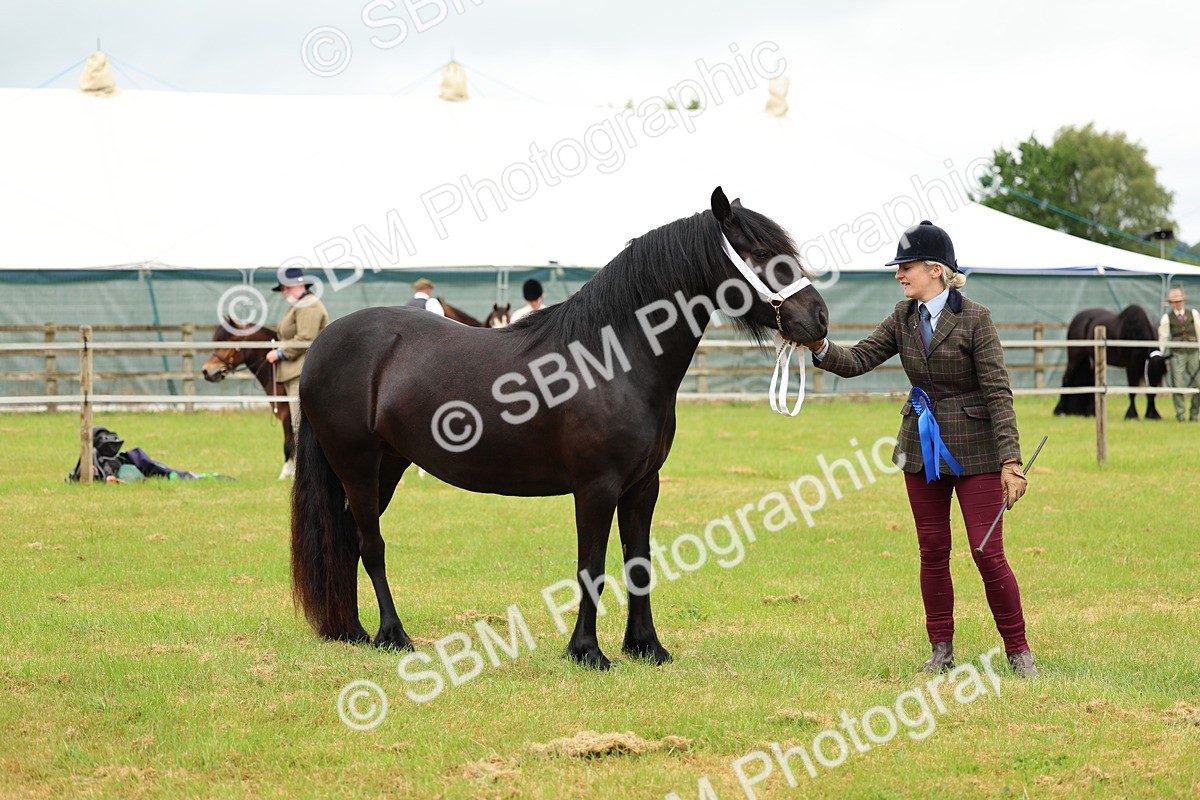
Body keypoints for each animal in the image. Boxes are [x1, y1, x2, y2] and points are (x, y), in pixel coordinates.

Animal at [290, 187, 828, 668]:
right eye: (763, 253)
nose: (819, 318)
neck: (614, 360)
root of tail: (324, 343)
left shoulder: (643, 486)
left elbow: (639, 563)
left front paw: (647, 648)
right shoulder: (596, 487)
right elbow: (592, 567)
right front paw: (588, 652)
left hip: (389, 465)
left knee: (348, 540)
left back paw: (353, 631)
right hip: (357, 466)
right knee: (371, 545)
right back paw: (393, 636)